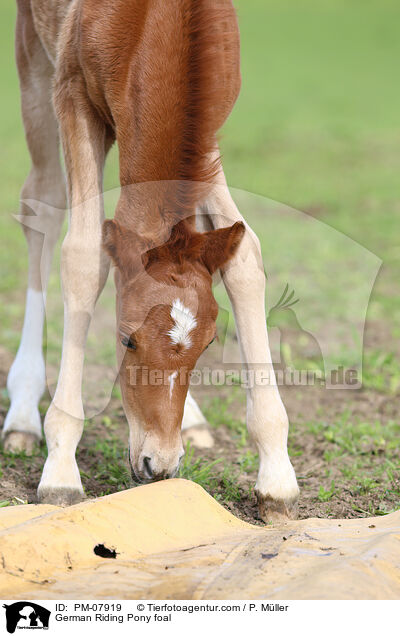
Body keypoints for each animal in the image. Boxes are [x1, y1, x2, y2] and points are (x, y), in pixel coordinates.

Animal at [2, 0, 296, 520]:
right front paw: (60, 471)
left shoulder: (207, 125)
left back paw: (193, 421)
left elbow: (245, 255)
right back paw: (22, 413)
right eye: (126, 340)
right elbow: (82, 256)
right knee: (43, 204)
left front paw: (276, 478)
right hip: (34, 56)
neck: (159, 25)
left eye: (208, 344)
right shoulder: (73, 93)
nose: (157, 464)